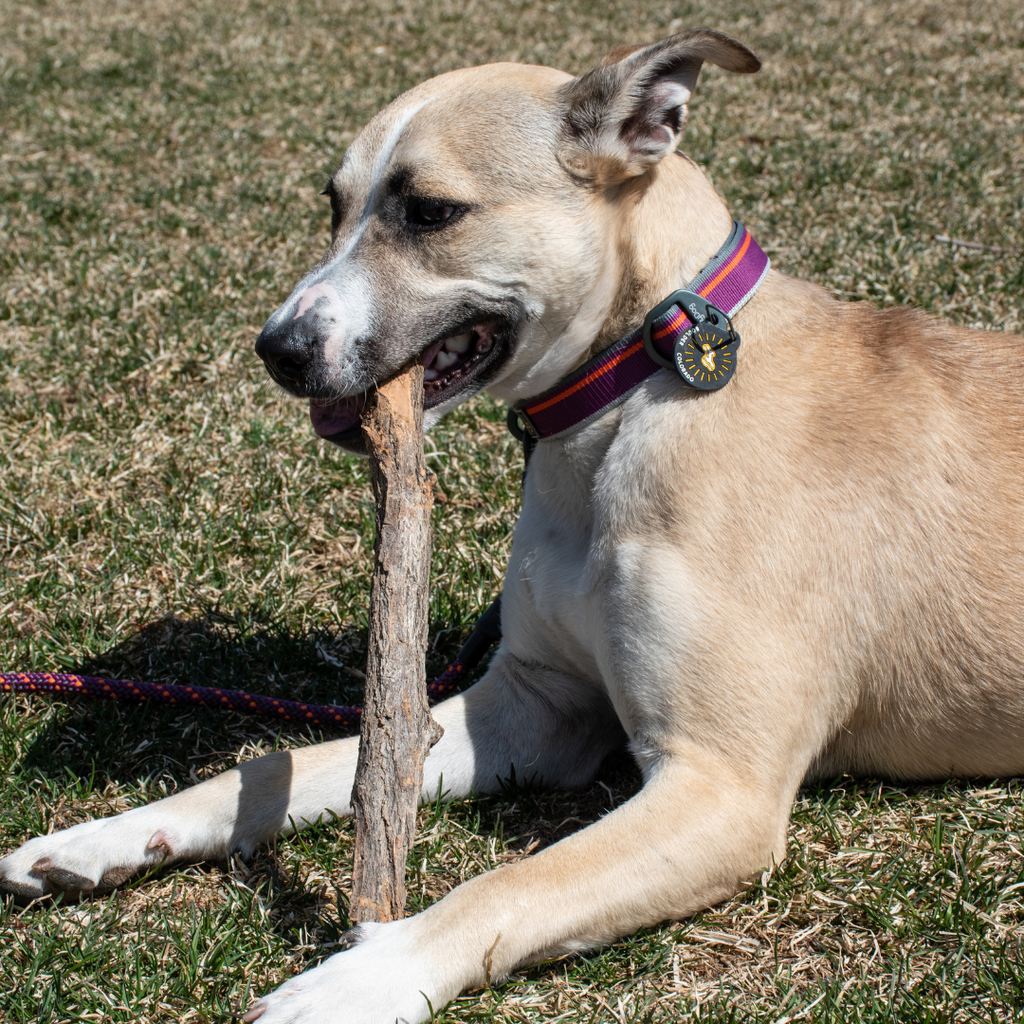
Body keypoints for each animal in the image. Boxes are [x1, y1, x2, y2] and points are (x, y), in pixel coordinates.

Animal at [2, 28, 1024, 1019]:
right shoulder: (532, 708)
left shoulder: (719, 785)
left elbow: (508, 887)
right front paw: (114, 835)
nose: (278, 350)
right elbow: (278, 762)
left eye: (429, 212)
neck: (637, 383)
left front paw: (361, 976)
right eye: (332, 205)